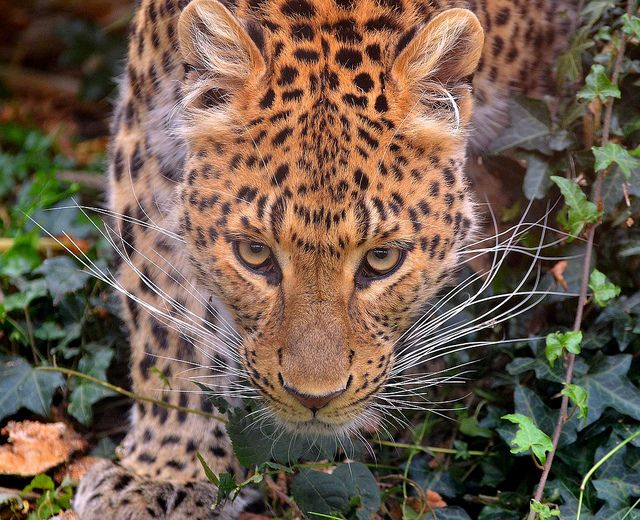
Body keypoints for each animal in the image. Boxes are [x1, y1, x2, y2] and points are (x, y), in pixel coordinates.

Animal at [72, 0, 576, 516]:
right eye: (254, 253)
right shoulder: (147, 149)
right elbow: (170, 327)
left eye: (381, 259)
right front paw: (165, 470)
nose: (314, 399)